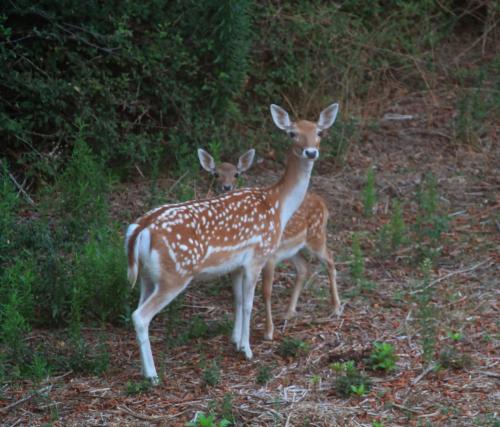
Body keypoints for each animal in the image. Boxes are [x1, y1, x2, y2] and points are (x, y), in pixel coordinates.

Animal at [197, 149, 342, 342]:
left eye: (236, 174)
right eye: (216, 174)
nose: (226, 187)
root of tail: (323, 203)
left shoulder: (269, 258)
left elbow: (265, 292)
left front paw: (268, 332)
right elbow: (241, 296)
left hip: (316, 236)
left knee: (330, 259)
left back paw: (336, 308)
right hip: (293, 249)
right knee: (304, 267)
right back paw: (289, 312)